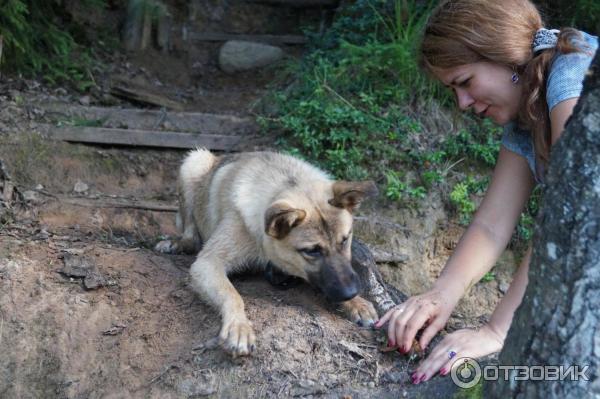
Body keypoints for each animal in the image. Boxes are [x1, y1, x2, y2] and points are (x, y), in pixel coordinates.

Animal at [157, 151, 378, 360]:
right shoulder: (208, 263)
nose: (350, 293)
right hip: (193, 162)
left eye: (345, 240)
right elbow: (232, 295)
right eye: (312, 251)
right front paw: (239, 326)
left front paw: (357, 303)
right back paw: (178, 243)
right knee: (191, 233)